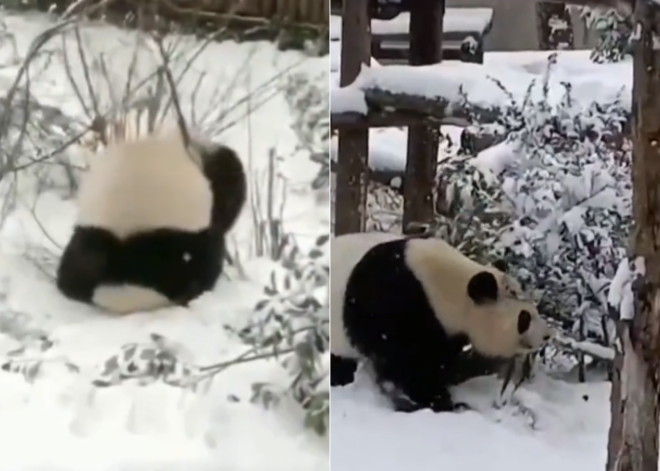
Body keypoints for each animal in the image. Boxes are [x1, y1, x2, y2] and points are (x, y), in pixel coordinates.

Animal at [330, 231, 552, 412]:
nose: (547, 335)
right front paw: (441, 403)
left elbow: (442, 362)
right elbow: (408, 364)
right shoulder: (394, 303)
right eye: (524, 317)